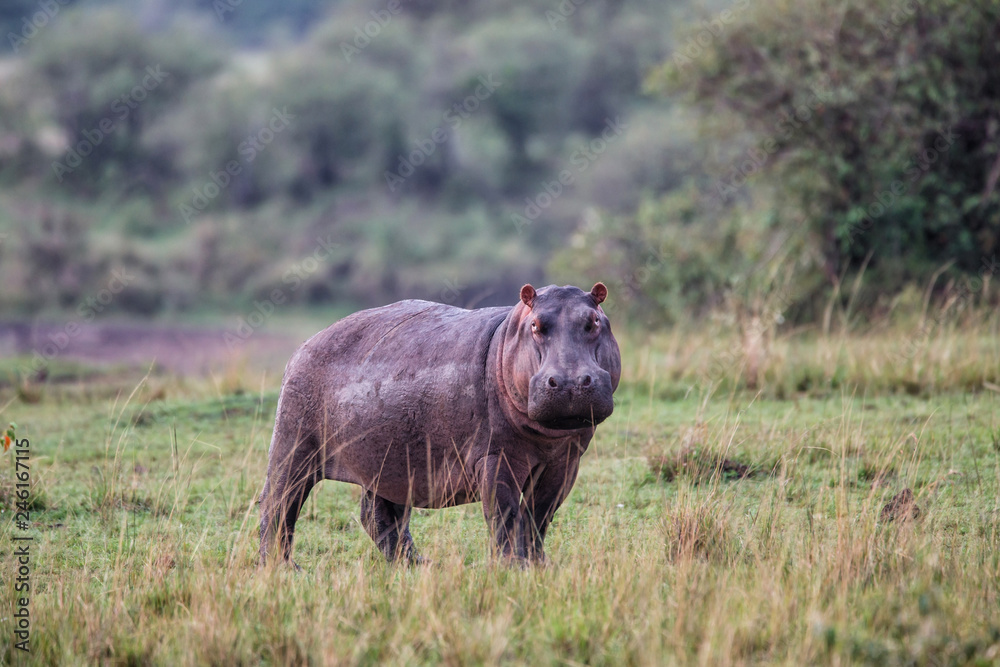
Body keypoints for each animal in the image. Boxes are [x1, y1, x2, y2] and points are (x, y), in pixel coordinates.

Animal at [259, 283, 621, 567]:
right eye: (535, 325)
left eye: (595, 321)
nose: (570, 382)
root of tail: (305, 344)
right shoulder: (496, 456)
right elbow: (503, 514)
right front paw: (511, 568)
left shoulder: (565, 460)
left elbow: (539, 517)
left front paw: (538, 566)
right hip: (294, 440)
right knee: (279, 500)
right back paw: (283, 569)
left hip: (390, 460)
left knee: (377, 514)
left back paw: (416, 564)